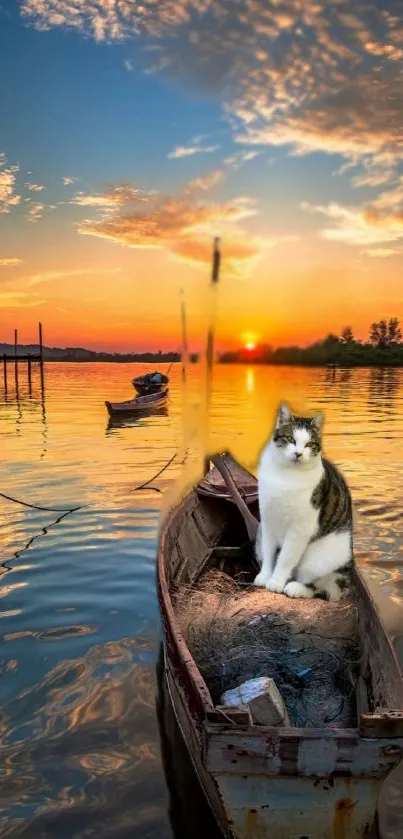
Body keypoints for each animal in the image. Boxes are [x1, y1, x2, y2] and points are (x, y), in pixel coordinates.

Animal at [256, 404, 354, 600]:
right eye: (290, 439)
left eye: (309, 444)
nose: (298, 454)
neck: (285, 474)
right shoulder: (268, 519)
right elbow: (268, 550)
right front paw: (264, 575)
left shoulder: (300, 528)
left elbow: (285, 557)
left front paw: (276, 581)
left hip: (319, 559)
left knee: (323, 589)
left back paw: (295, 588)